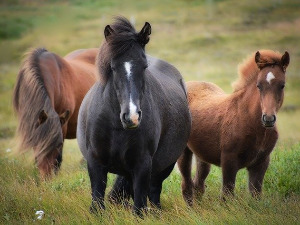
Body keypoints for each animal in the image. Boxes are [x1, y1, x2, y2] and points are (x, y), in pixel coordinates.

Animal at [77, 16, 190, 215]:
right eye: (113, 67)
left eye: (144, 66)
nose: (132, 117)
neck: (115, 126)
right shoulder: (95, 162)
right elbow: (97, 202)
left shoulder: (142, 165)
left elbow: (139, 207)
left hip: (164, 166)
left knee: (154, 192)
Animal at [178, 49, 290, 206]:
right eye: (258, 85)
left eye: (282, 85)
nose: (268, 119)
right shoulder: (229, 160)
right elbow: (227, 195)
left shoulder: (261, 163)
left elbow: (256, 194)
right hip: (184, 152)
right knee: (187, 185)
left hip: (202, 155)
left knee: (198, 184)